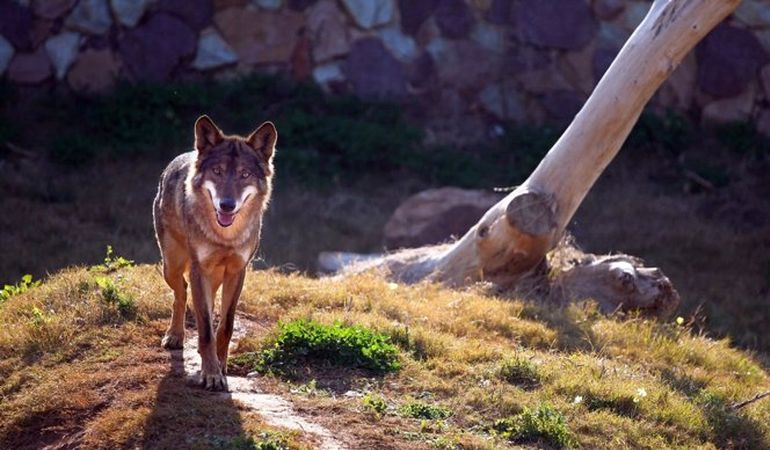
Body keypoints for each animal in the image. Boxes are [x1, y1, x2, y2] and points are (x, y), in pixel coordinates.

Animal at [153, 116, 276, 390]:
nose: (227, 205)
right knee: (181, 291)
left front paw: (221, 366)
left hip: (214, 277)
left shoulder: (238, 272)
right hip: (171, 267)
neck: (225, 237)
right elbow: (206, 330)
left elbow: (225, 326)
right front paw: (211, 374)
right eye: (217, 171)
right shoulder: (200, 271)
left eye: (244, 174)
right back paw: (175, 336)